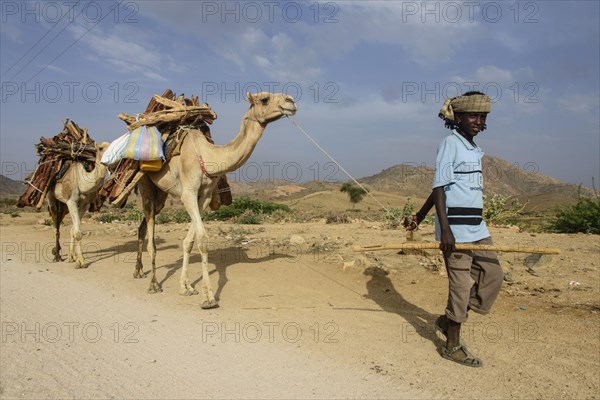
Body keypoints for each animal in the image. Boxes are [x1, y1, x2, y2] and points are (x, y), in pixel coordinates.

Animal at [134, 91, 298, 310]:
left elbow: (189, 241)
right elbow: (203, 239)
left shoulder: (203, 197)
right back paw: (153, 283)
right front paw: (208, 298)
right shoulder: (188, 193)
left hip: (162, 192)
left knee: (143, 225)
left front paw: (186, 287)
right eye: (264, 99)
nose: (291, 102)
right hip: (145, 182)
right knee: (150, 229)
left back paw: (138, 271)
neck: (207, 156)